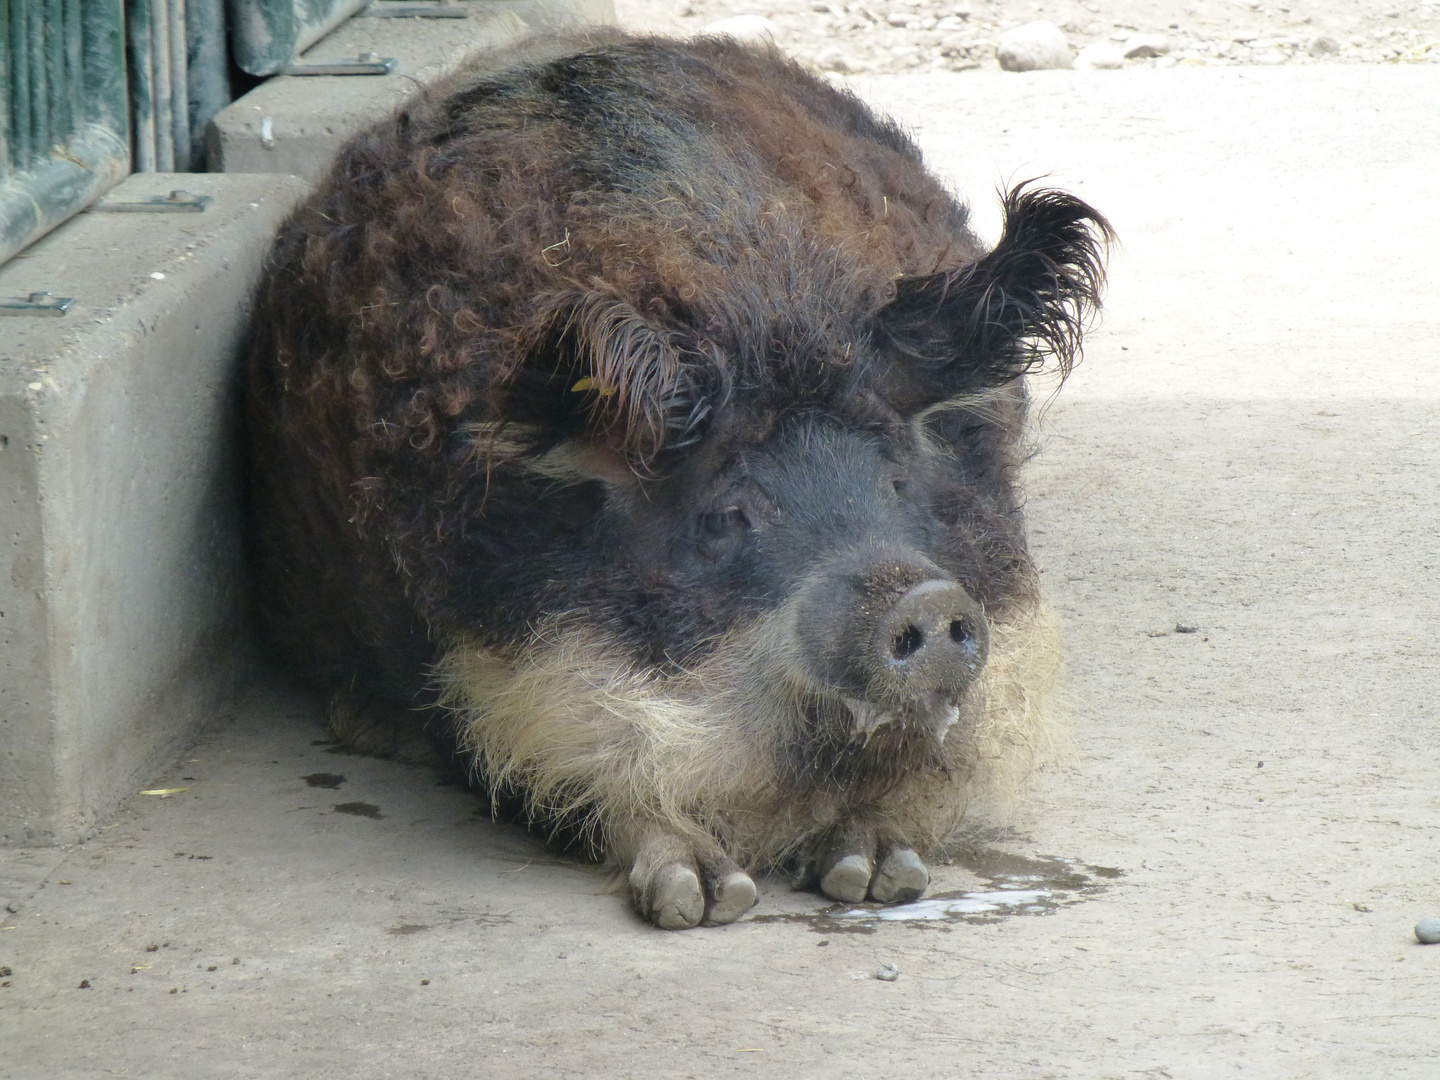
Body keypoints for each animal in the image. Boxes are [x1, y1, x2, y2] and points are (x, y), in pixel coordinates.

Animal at [244, 33, 1111, 933]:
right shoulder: (479, 669)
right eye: (725, 514)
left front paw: (877, 877)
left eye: (900, 483)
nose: (926, 598)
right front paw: (705, 900)